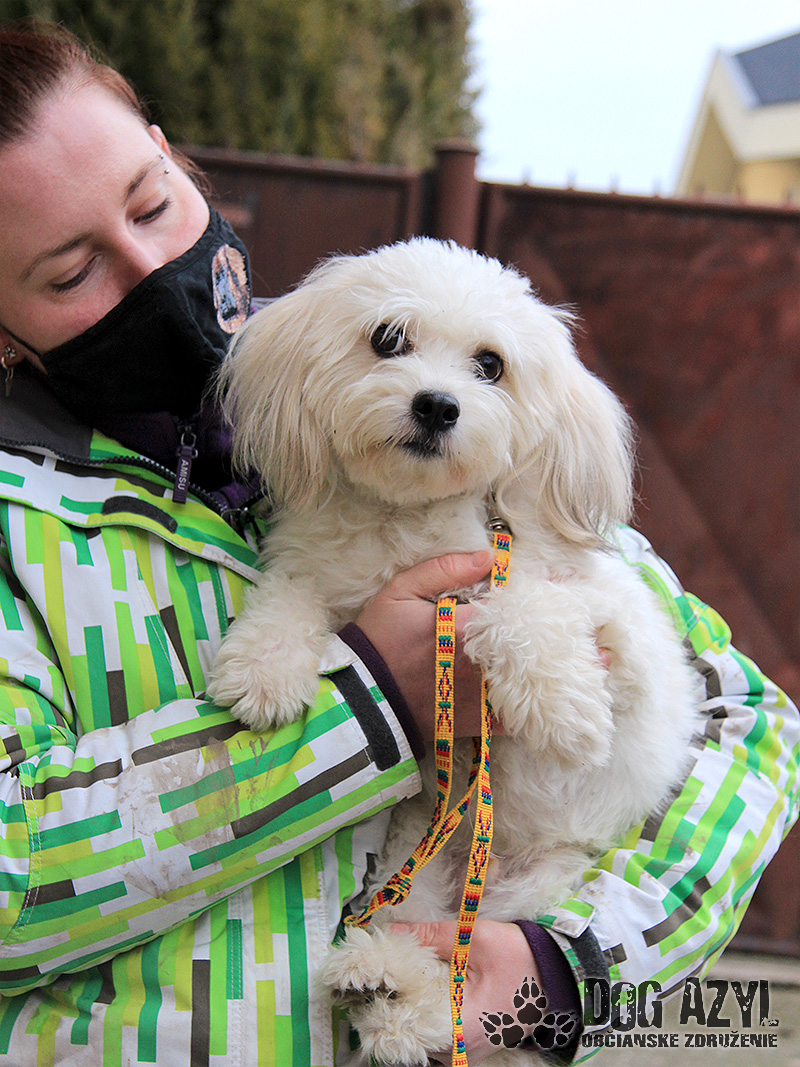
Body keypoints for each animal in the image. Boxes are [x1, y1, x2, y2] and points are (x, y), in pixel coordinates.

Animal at [207, 238, 701, 1065]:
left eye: (491, 364)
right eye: (387, 338)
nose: (437, 405)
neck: (409, 524)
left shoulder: (611, 626)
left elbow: (524, 606)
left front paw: (563, 707)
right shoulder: (324, 575)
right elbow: (292, 596)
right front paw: (262, 668)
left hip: (530, 885)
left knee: (467, 982)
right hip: (419, 859)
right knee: (423, 948)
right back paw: (382, 981)